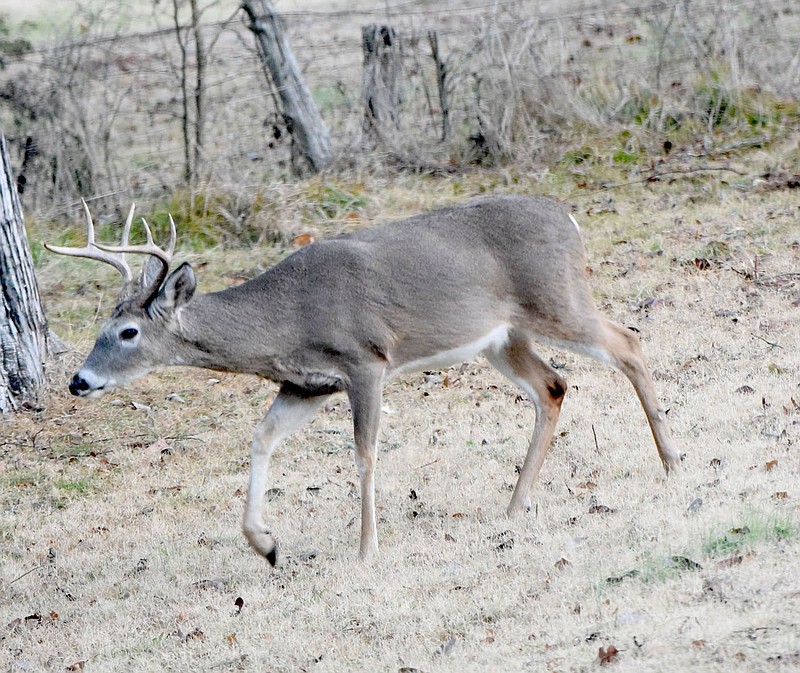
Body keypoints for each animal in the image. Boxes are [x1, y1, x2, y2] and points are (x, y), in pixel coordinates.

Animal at [47, 194, 680, 560]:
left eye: (127, 332)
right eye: (103, 326)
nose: (78, 381)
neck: (286, 320)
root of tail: (570, 218)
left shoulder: (365, 360)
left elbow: (365, 454)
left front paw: (366, 549)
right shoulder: (306, 384)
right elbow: (261, 437)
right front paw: (266, 545)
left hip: (556, 300)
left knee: (629, 342)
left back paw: (673, 463)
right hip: (502, 337)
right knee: (553, 386)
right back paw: (514, 506)